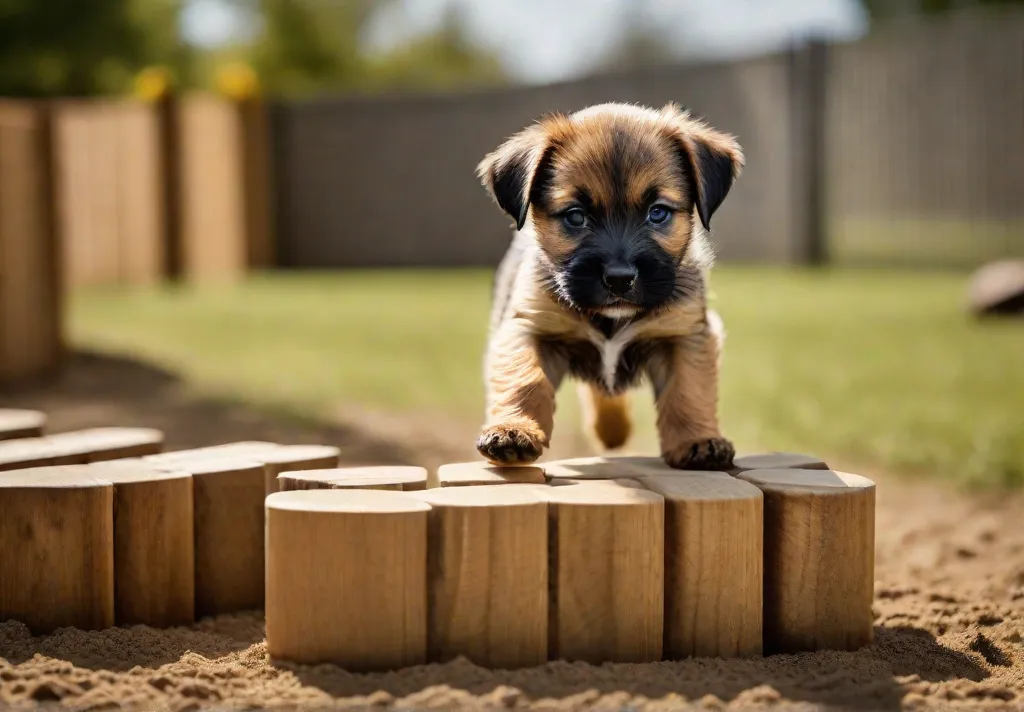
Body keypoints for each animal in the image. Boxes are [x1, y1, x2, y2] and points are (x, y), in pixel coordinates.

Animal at [475, 98, 741, 467]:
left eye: (658, 213)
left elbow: (688, 391)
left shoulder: (685, 334)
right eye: (575, 216)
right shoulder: (527, 327)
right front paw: (514, 430)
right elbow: (524, 379)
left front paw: (698, 441)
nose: (619, 278)